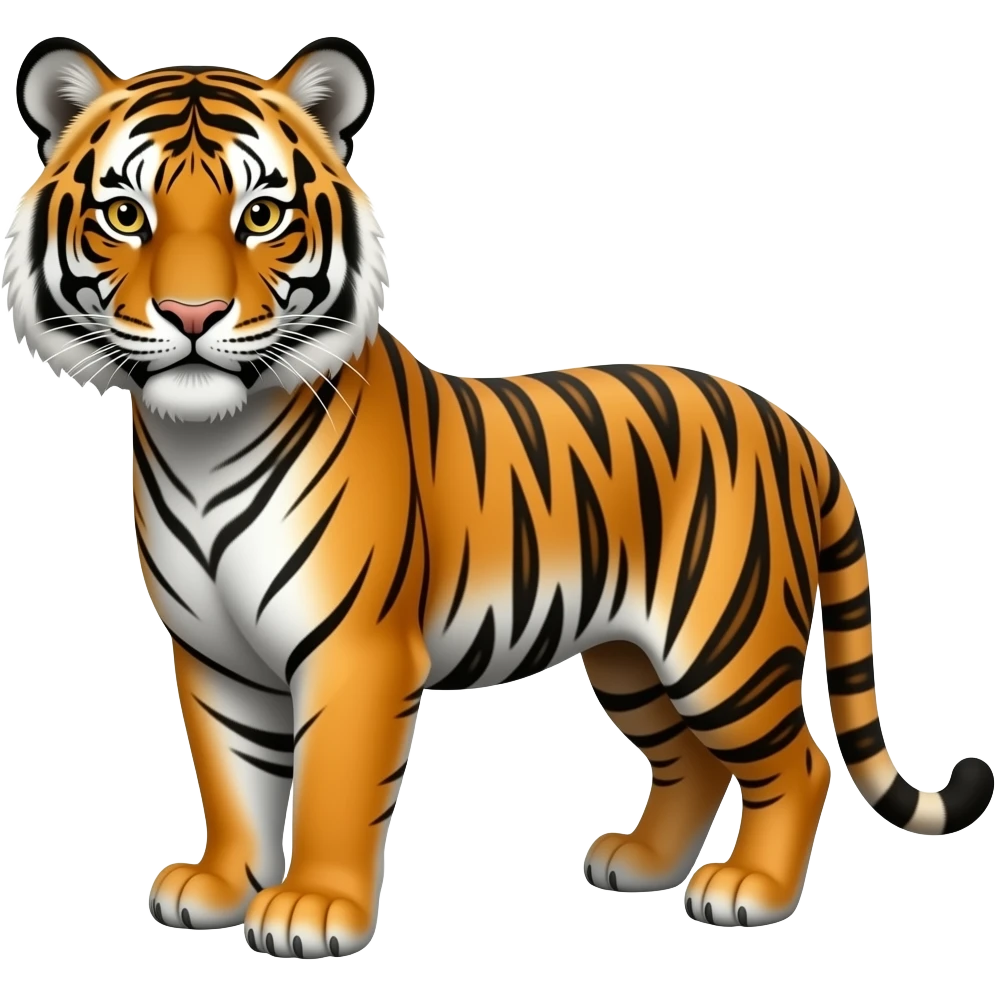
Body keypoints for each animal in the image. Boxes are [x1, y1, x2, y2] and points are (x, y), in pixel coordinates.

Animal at [4, 34, 992, 959]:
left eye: (261, 215)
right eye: (126, 215)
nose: (193, 316)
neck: (201, 440)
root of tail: (791, 426)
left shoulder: (355, 650)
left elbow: (330, 786)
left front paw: (312, 909)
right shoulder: (214, 654)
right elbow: (233, 777)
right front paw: (217, 887)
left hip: (723, 644)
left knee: (799, 762)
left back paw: (749, 889)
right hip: (631, 658)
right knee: (690, 761)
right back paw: (640, 863)